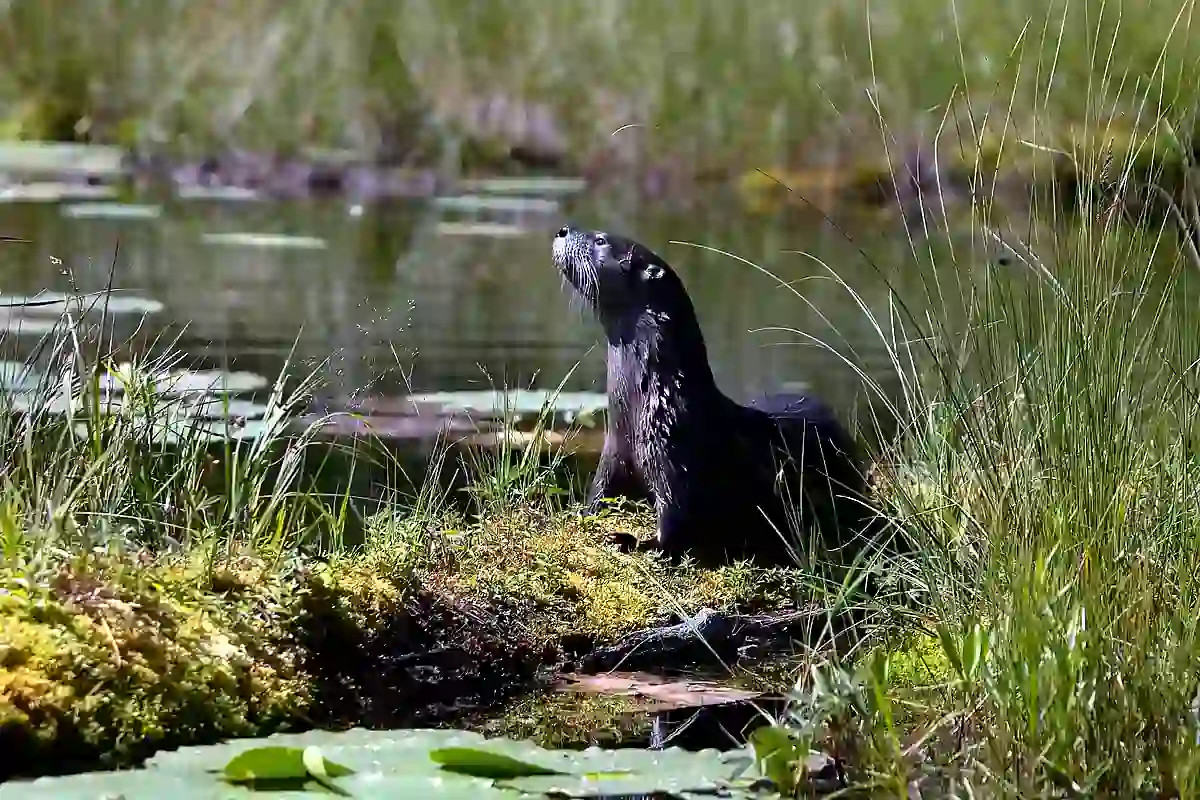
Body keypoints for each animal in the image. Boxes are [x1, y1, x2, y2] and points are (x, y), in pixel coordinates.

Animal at [552, 225, 872, 567]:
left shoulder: (677, 461)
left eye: (600, 240)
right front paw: (586, 516)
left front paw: (637, 542)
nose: (563, 230)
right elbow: (601, 492)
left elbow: (678, 523)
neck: (657, 401)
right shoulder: (614, 450)